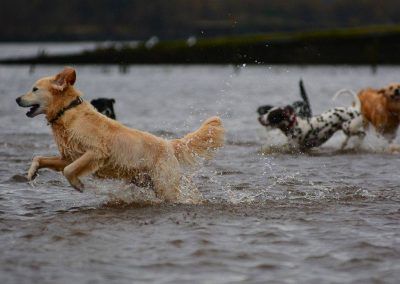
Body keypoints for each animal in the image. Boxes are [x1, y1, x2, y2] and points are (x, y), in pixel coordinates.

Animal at [16, 67, 225, 202]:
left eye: (34, 89)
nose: (17, 99)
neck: (67, 112)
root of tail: (168, 144)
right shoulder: (69, 156)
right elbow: (39, 158)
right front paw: (31, 173)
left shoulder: (96, 152)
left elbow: (69, 171)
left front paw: (78, 185)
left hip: (165, 185)